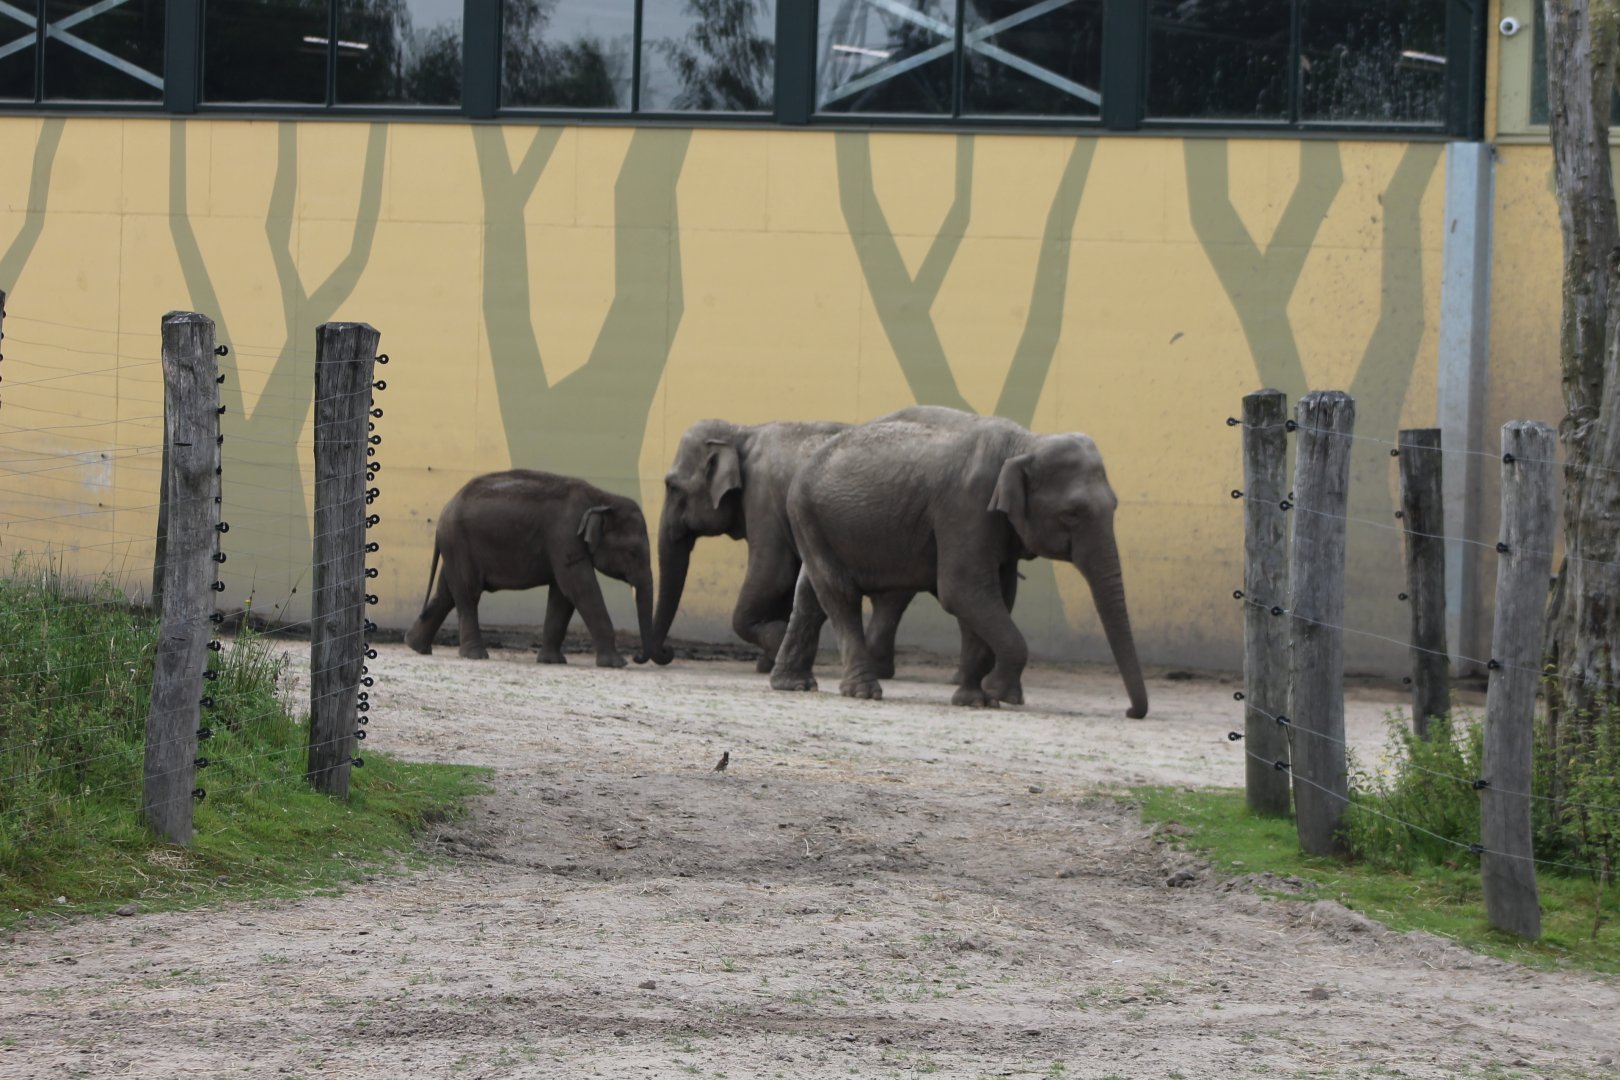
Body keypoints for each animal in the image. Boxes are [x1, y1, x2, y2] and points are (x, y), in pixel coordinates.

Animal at [403, 469, 667, 667]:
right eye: (632, 552)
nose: (638, 656)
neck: (601, 498)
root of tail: (443, 512)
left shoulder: (563, 545)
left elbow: (562, 596)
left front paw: (552, 661)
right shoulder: (565, 537)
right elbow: (580, 589)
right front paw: (616, 664)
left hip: (456, 547)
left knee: (446, 592)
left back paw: (416, 646)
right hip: (459, 543)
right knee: (468, 594)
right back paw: (475, 655)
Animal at [646, 419, 917, 674]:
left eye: (672, 487)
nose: (667, 651)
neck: (741, 432)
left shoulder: (763, 499)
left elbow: (774, 573)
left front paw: (776, 645)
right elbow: (788, 582)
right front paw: (769, 661)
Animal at [768, 408, 1149, 717]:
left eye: (1115, 505)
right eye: (1071, 514)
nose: (1130, 712)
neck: (1026, 443)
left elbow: (995, 595)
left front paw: (976, 700)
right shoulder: (966, 505)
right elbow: (962, 590)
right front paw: (999, 693)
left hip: (818, 524)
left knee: (813, 595)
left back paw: (793, 684)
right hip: (806, 513)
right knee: (840, 593)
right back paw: (863, 692)